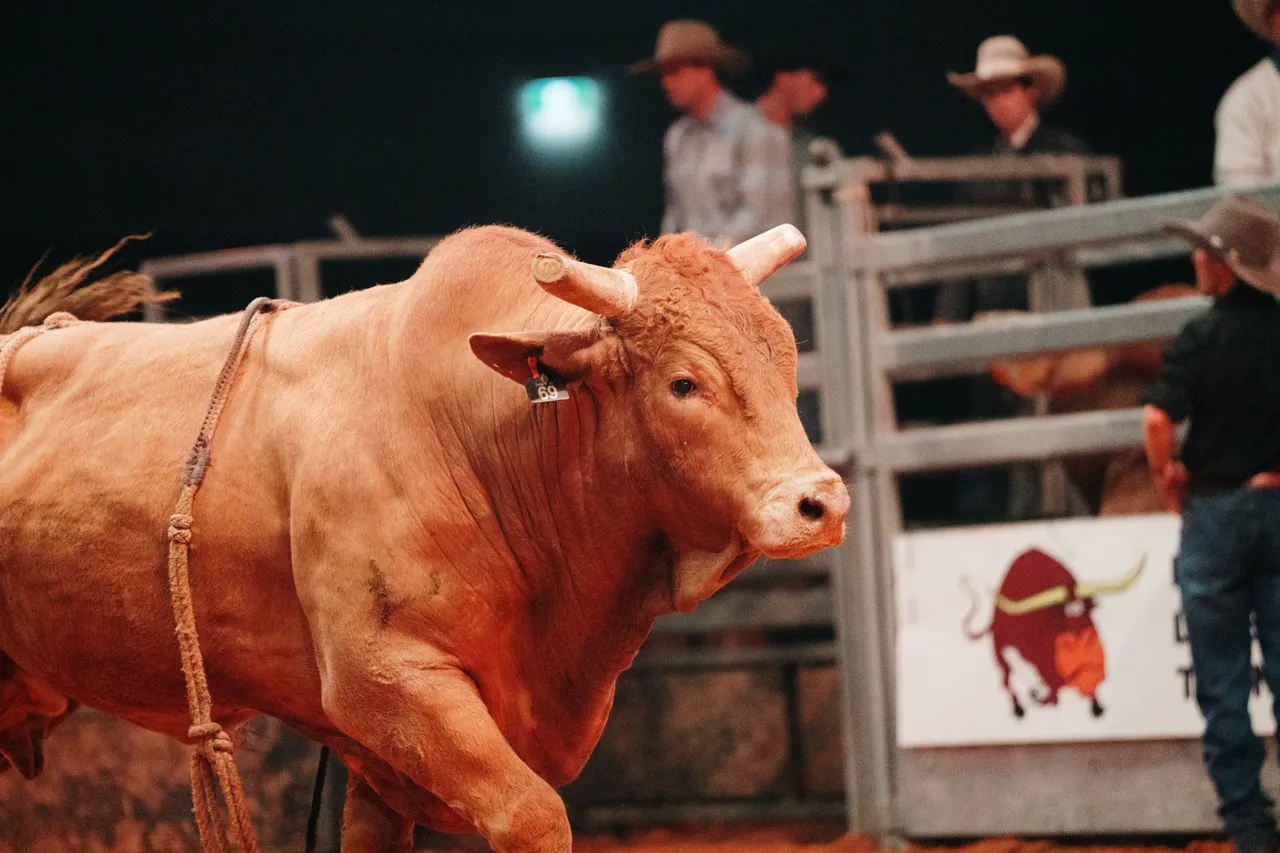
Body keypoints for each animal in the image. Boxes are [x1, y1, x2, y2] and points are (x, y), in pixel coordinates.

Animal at [0, 223, 848, 852]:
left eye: (787, 361)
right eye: (683, 382)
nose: (820, 502)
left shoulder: (382, 763)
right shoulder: (389, 683)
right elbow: (534, 816)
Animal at [963, 548, 1144, 718]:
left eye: (1088, 612)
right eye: (1063, 618)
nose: (1087, 644)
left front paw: (1097, 707)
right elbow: (1051, 695)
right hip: (1000, 651)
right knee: (1007, 680)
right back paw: (1020, 707)